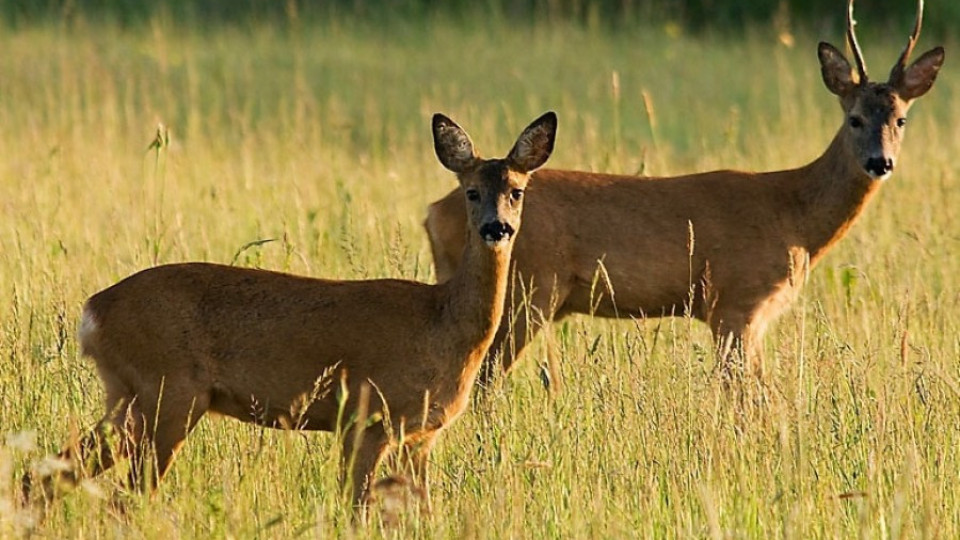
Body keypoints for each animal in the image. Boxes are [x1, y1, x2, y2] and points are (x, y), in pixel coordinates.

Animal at [24, 110, 556, 510]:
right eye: (471, 191)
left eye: (517, 191)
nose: (496, 228)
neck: (443, 322)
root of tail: (93, 312)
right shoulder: (367, 417)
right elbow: (357, 508)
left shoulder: (422, 435)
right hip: (167, 392)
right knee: (124, 496)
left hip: (127, 395)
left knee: (48, 473)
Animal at [424, 0, 940, 384]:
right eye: (854, 118)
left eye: (901, 119)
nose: (880, 162)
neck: (794, 218)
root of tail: (433, 212)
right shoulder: (735, 301)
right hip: (528, 292)